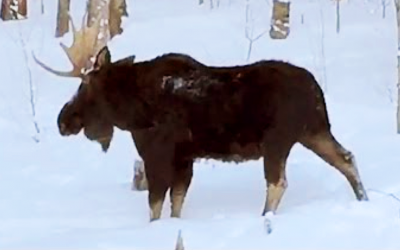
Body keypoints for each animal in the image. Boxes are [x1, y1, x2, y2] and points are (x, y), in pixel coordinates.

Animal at [33, 14, 368, 222]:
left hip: (279, 139)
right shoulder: (185, 157)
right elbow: (177, 203)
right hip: (314, 131)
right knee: (346, 157)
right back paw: (363, 199)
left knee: (278, 182)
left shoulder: (157, 151)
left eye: (84, 86)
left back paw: (265, 218)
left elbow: (156, 204)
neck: (129, 111)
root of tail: (316, 91)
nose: (63, 120)